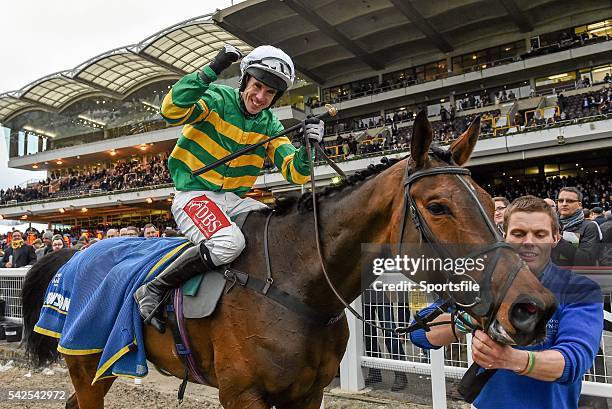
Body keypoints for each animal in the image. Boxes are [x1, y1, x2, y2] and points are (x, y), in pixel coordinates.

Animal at [21, 111, 556, 408]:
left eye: (489, 201)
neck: (298, 286)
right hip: (85, 357)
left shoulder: (308, 393)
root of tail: (73, 253)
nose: (532, 307)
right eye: (438, 206)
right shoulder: (242, 395)